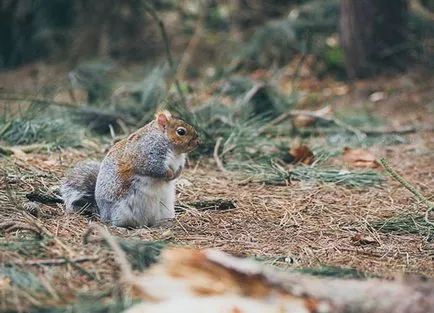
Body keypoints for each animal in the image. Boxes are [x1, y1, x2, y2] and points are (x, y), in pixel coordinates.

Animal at [58, 109, 199, 227]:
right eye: (181, 132)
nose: (198, 142)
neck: (175, 151)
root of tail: (102, 212)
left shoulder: (179, 161)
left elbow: (179, 169)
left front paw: (176, 175)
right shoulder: (147, 156)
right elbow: (155, 169)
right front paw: (169, 174)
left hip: (165, 210)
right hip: (120, 211)